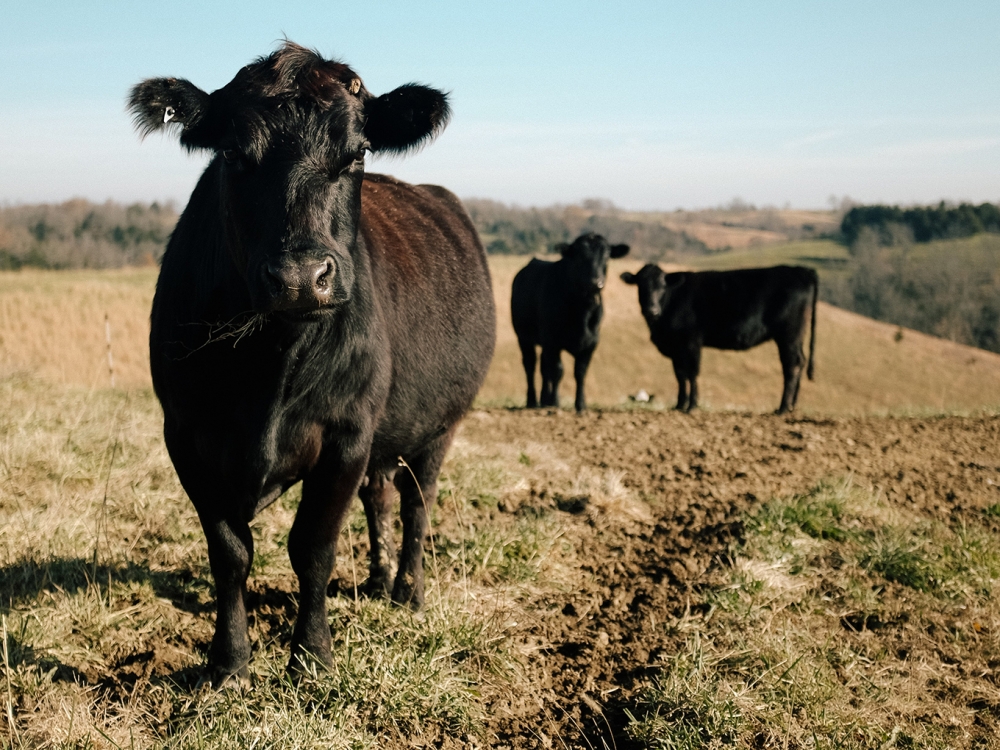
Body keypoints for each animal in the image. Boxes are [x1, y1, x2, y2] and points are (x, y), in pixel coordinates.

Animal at [129, 41, 496, 688]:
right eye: (233, 153)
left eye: (357, 153)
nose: (302, 277)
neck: (268, 368)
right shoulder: (187, 436)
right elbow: (230, 553)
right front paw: (229, 661)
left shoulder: (346, 434)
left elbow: (313, 547)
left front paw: (312, 656)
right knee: (379, 497)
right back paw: (376, 580)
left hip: (438, 429)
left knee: (416, 503)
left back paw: (407, 591)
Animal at [512, 234, 628, 412]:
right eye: (579, 256)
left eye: (607, 255)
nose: (595, 283)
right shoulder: (552, 340)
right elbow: (558, 371)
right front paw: (555, 402)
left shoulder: (591, 342)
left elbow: (580, 372)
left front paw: (580, 405)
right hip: (524, 337)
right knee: (530, 365)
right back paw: (532, 401)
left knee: (544, 367)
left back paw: (544, 399)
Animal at [616, 266, 820, 418]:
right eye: (641, 285)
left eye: (661, 286)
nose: (652, 310)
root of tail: (803, 270)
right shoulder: (677, 348)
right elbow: (680, 375)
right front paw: (679, 405)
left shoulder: (691, 341)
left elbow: (692, 373)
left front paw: (691, 406)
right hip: (796, 337)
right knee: (800, 362)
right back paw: (792, 406)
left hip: (788, 335)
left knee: (791, 365)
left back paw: (783, 408)